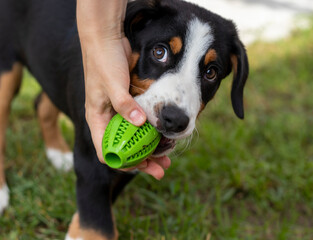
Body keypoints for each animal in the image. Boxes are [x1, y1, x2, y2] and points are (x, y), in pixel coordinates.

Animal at [0, 0, 249, 238]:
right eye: (160, 52)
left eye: (211, 73)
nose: (174, 119)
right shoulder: (91, 156)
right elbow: (99, 226)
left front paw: (77, 228)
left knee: (41, 103)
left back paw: (57, 154)